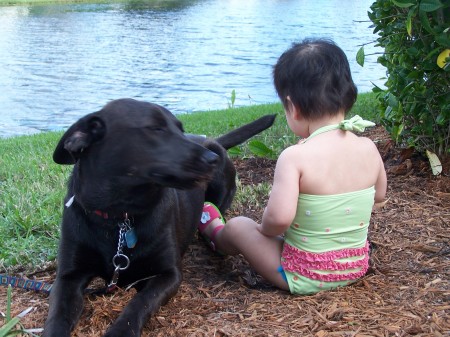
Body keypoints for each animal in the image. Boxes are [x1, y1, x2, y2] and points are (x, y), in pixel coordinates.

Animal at [43, 98, 274, 336]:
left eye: (181, 129)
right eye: (156, 129)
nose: (212, 160)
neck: (118, 217)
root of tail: (210, 141)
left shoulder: (168, 274)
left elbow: (139, 303)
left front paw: (120, 331)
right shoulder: (68, 276)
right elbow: (57, 316)